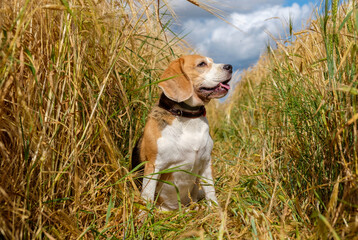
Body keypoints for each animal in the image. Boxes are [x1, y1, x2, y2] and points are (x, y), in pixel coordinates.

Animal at [132, 54, 232, 210]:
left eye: (212, 61)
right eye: (202, 64)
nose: (230, 67)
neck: (188, 117)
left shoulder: (206, 163)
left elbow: (211, 192)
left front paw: (216, 211)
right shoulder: (153, 166)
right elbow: (147, 197)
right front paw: (144, 216)